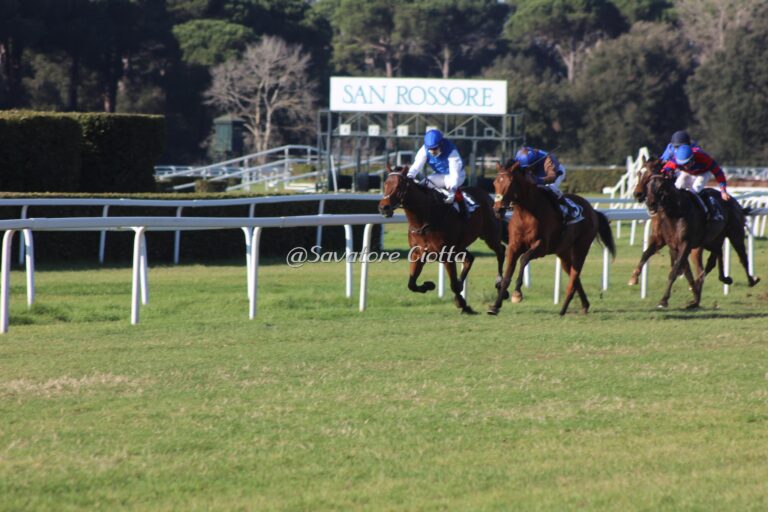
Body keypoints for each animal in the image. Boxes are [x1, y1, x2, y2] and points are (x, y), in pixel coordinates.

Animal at [376, 166, 508, 314]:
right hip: (460, 246)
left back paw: (500, 283)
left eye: (399, 186)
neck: (425, 219)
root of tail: (489, 197)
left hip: (490, 236)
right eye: (385, 184)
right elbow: (411, 284)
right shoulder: (418, 253)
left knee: (501, 251)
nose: (383, 207)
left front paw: (463, 304)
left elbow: (453, 285)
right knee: (470, 258)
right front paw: (429, 285)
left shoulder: (446, 255)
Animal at [488, 161, 616, 316]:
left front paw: (517, 293)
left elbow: (524, 258)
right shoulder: (514, 247)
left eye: (510, 183)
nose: (497, 210)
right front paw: (495, 305)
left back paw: (563, 309)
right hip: (563, 252)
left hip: (581, 247)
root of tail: (593, 211)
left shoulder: (542, 246)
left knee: (574, 276)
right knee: (574, 276)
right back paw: (584, 305)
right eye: (495, 183)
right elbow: (507, 276)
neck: (526, 213)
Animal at [628, 156, 760, 308]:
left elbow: (675, 270)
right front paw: (633, 278)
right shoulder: (665, 242)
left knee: (742, 257)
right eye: (639, 174)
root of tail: (734, 201)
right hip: (712, 240)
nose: (640, 195)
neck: (674, 211)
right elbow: (647, 255)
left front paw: (664, 300)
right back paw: (720, 280)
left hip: (734, 234)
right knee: (714, 258)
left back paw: (751, 280)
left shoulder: (686, 244)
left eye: (660, 185)